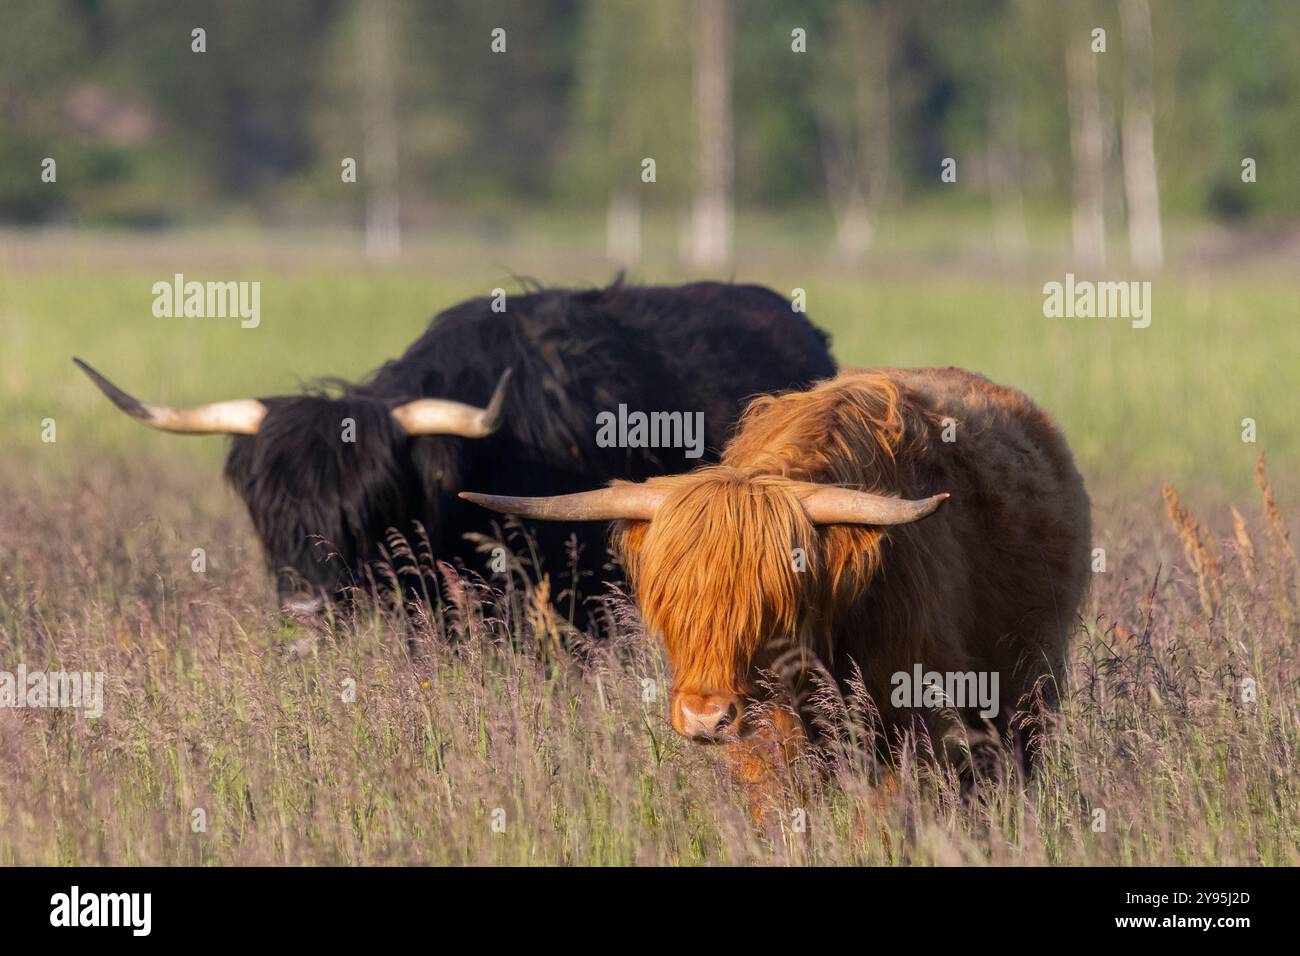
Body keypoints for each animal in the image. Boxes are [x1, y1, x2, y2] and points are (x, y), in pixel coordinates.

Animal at [462, 369, 1092, 780]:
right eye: (670, 605)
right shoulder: (767, 732)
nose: (705, 717)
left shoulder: (912, 715)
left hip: (1027, 686)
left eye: (770, 608)